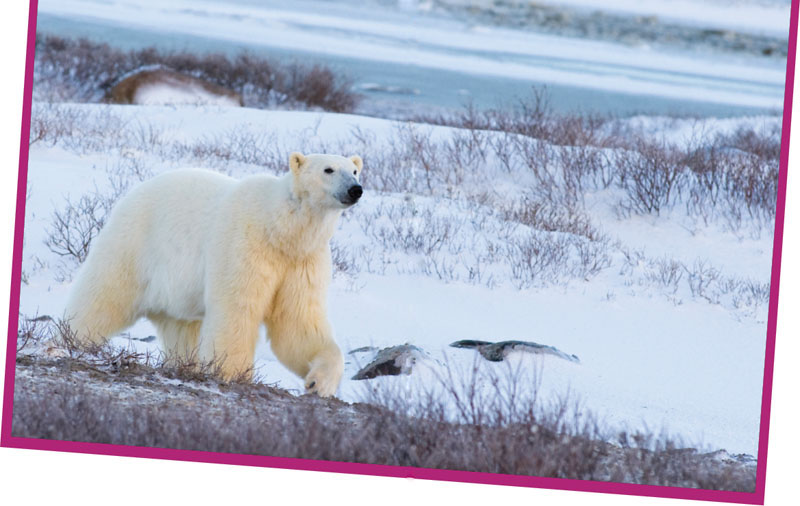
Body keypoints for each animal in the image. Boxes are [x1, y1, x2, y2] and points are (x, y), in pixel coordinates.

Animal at [64, 152, 364, 398]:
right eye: (328, 169)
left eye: (355, 170)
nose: (355, 189)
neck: (279, 228)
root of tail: (132, 193)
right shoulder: (245, 245)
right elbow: (236, 309)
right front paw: (230, 373)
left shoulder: (302, 261)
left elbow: (297, 323)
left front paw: (319, 382)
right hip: (135, 244)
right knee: (104, 296)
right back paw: (72, 338)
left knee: (181, 328)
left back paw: (186, 364)